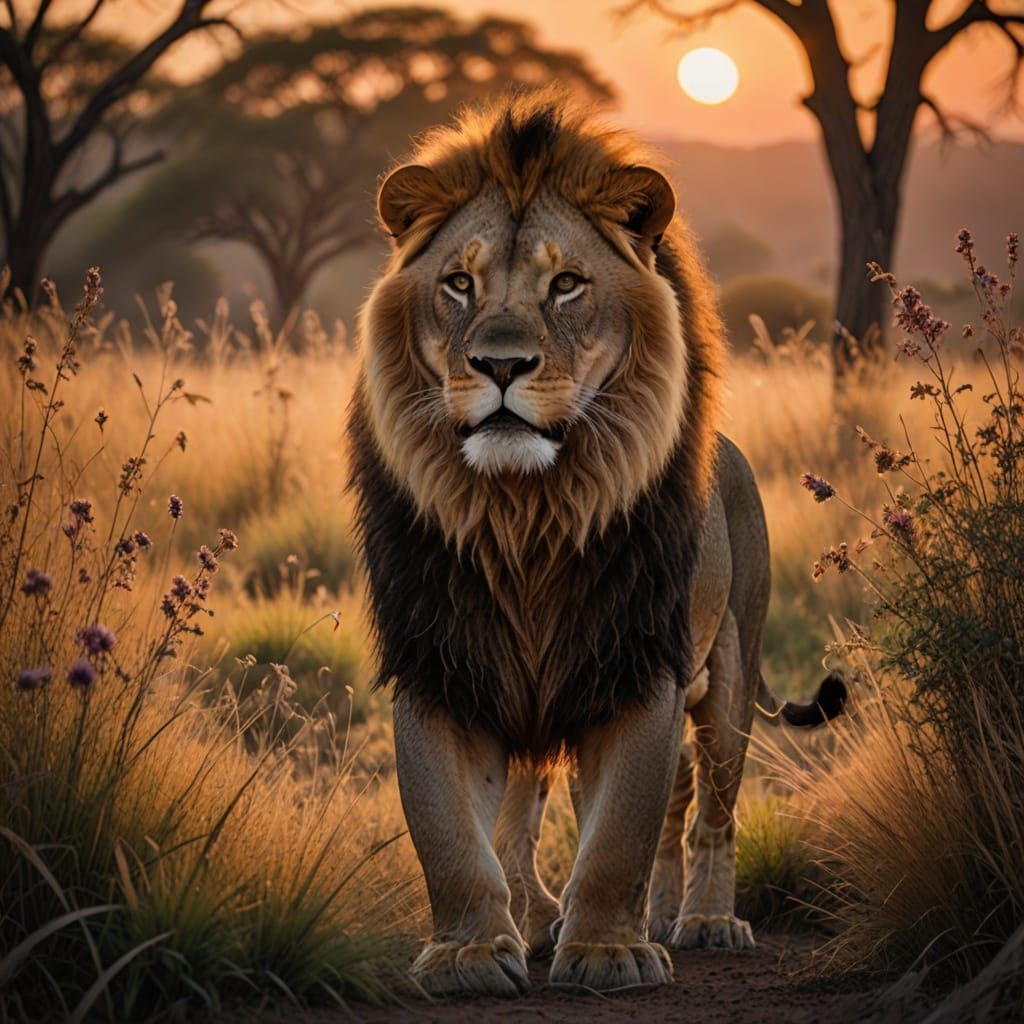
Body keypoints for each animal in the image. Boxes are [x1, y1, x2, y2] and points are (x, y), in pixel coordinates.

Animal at [347, 92, 845, 998]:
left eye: (567, 284)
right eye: (459, 284)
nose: (499, 364)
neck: (524, 515)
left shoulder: (637, 667)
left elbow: (621, 833)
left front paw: (610, 952)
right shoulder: (442, 663)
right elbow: (451, 833)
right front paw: (471, 952)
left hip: (730, 675)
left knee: (710, 810)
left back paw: (704, 921)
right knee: (537, 819)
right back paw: (555, 917)